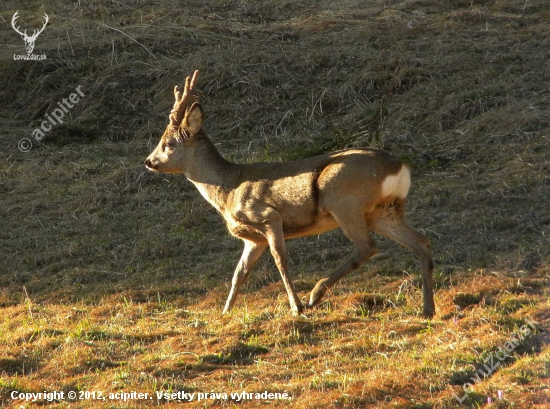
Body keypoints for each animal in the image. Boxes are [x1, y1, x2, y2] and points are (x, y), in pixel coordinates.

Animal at [144, 71, 438, 318]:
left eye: (167, 143)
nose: (148, 161)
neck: (228, 189)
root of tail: (399, 166)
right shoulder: (253, 239)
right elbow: (239, 273)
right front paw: (225, 311)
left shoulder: (268, 216)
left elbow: (280, 261)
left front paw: (296, 307)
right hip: (382, 211)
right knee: (421, 243)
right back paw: (427, 309)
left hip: (344, 200)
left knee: (367, 246)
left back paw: (315, 295)